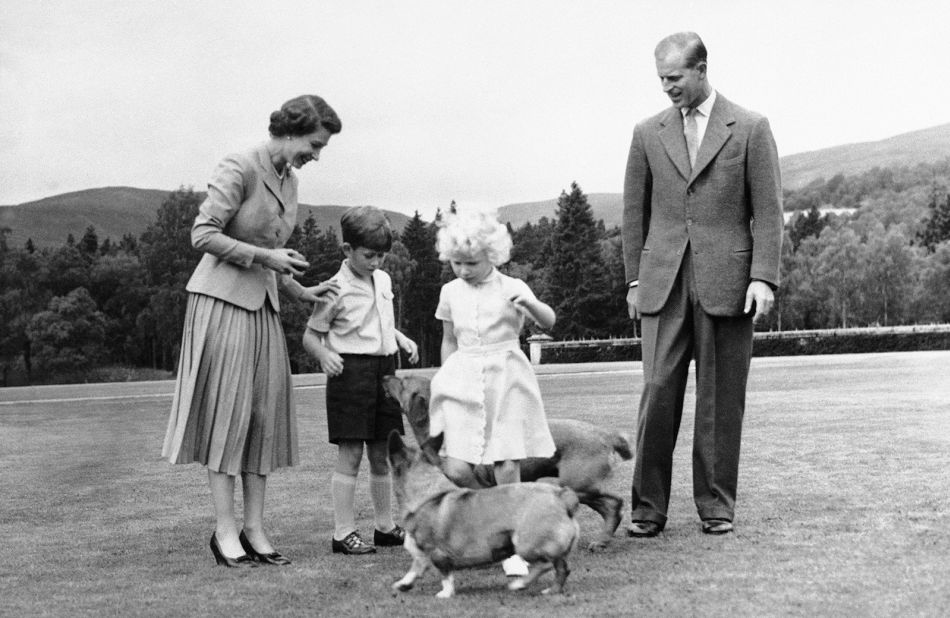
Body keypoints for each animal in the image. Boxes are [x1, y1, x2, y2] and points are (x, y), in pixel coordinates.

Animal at [386, 428, 580, 596]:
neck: (427, 492)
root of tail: (563, 498)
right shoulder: (421, 555)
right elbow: (415, 569)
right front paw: (403, 584)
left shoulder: (437, 553)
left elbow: (445, 576)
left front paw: (445, 594)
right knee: (563, 568)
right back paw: (552, 590)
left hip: (525, 544)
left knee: (545, 565)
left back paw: (519, 584)